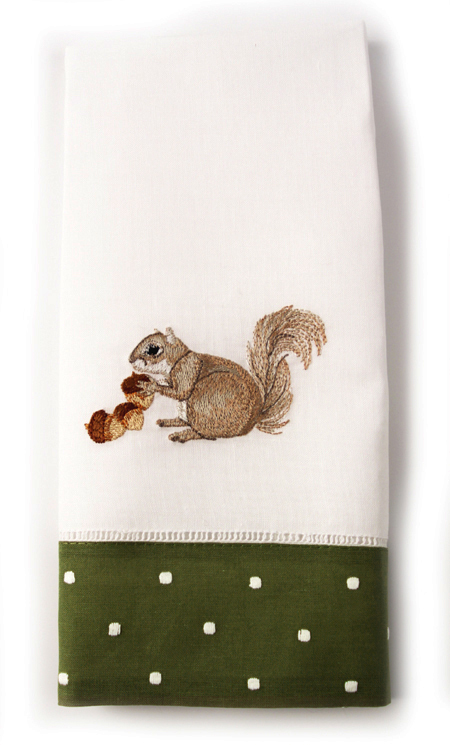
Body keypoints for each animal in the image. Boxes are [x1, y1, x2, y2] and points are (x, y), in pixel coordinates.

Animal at [128, 306, 326, 443]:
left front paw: (149, 385)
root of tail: (248, 425)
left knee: (204, 434)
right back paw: (168, 422)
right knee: (186, 422)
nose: (130, 360)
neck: (178, 358)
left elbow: (180, 392)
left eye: (153, 349)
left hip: (202, 404)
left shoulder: (186, 369)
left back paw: (182, 435)